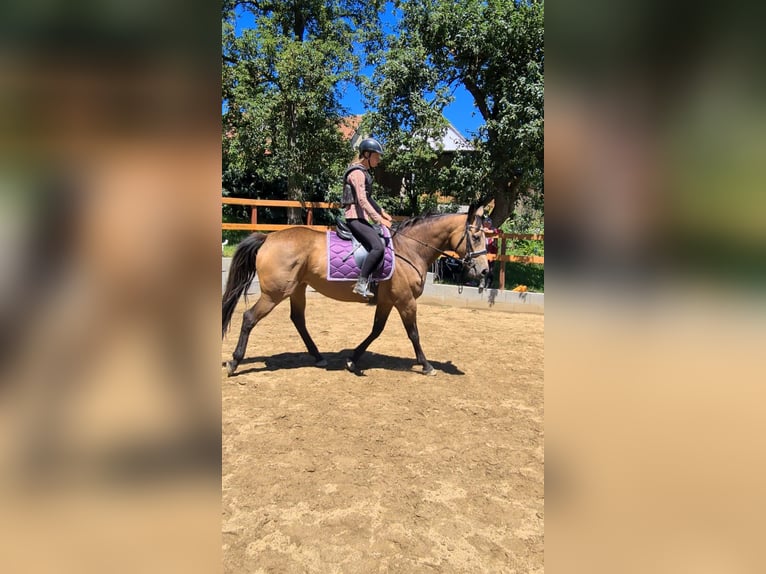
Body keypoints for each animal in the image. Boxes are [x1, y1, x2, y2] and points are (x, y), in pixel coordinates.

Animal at [220, 206, 492, 378]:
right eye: (476, 236)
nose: (484, 270)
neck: (409, 248)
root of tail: (268, 238)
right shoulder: (406, 301)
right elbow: (414, 334)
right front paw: (426, 365)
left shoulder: (387, 301)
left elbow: (376, 330)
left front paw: (353, 359)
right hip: (274, 293)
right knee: (249, 318)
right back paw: (234, 361)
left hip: (297, 289)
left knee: (298, 320)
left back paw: (318, 356)